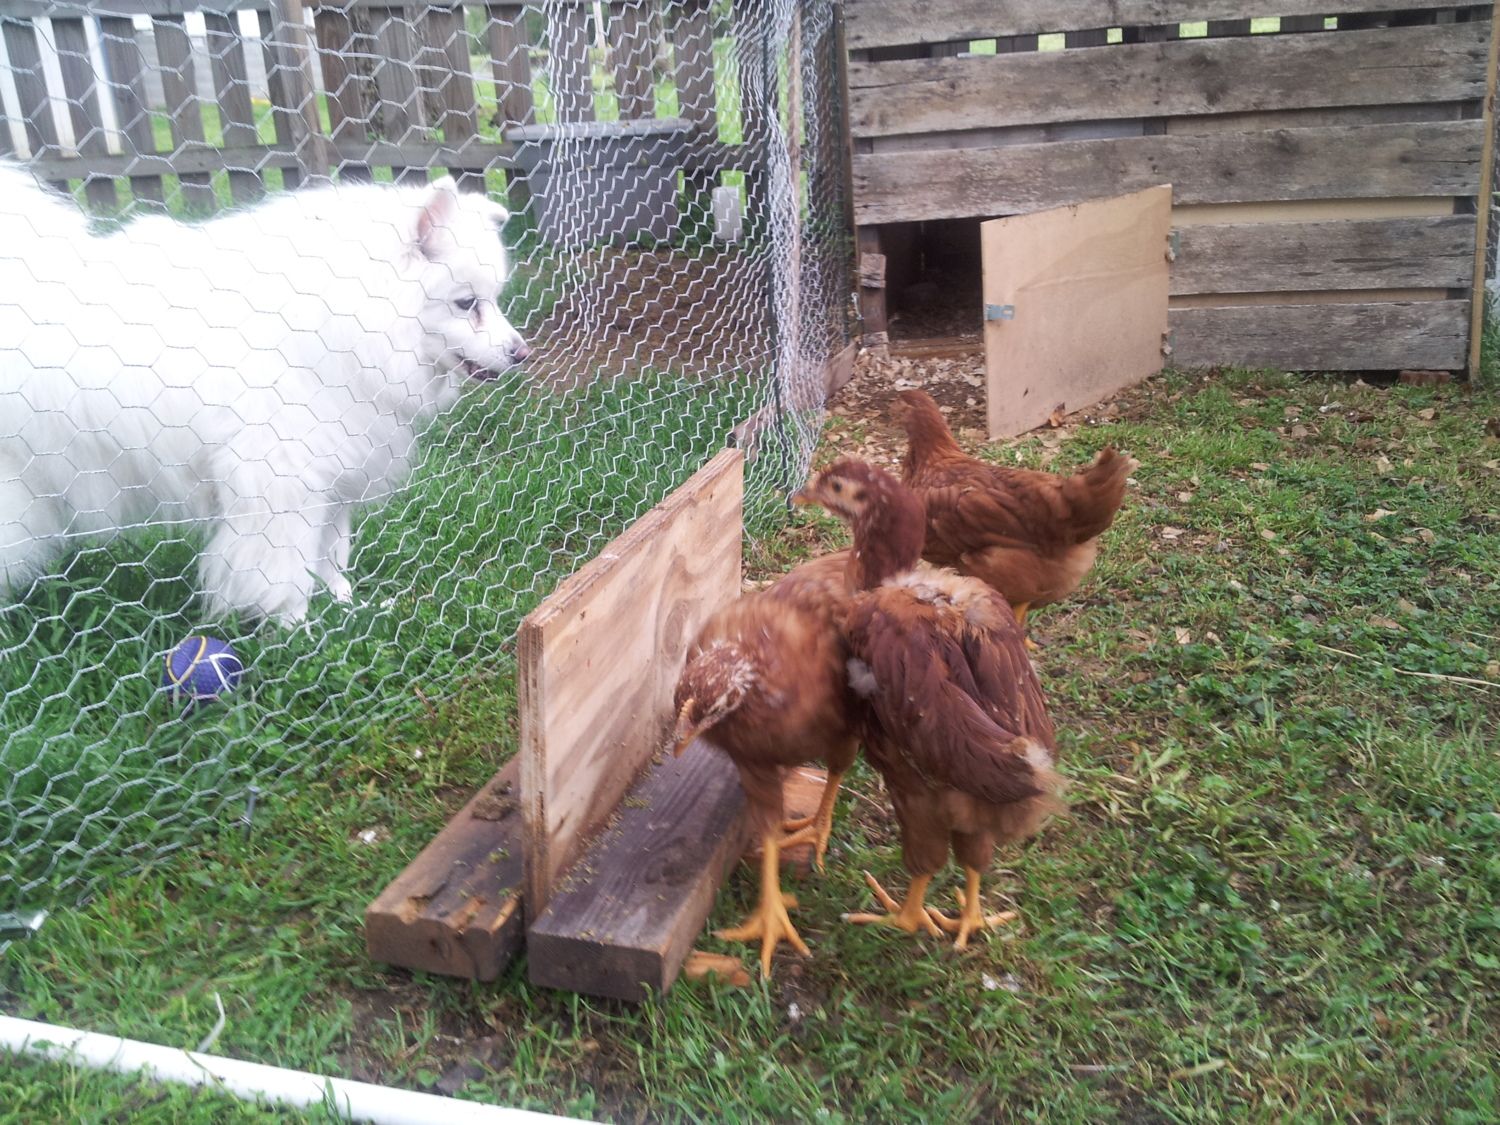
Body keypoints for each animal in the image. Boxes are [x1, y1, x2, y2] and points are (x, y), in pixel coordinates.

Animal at [0, 168, 529, 625]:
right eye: (467, 303)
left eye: (496, 300)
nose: (522, 353)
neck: (336, 325)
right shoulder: (281, 483)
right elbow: (287, 569)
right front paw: (297, 629)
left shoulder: (332, 475)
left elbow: (331, 552)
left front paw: (344, 605)